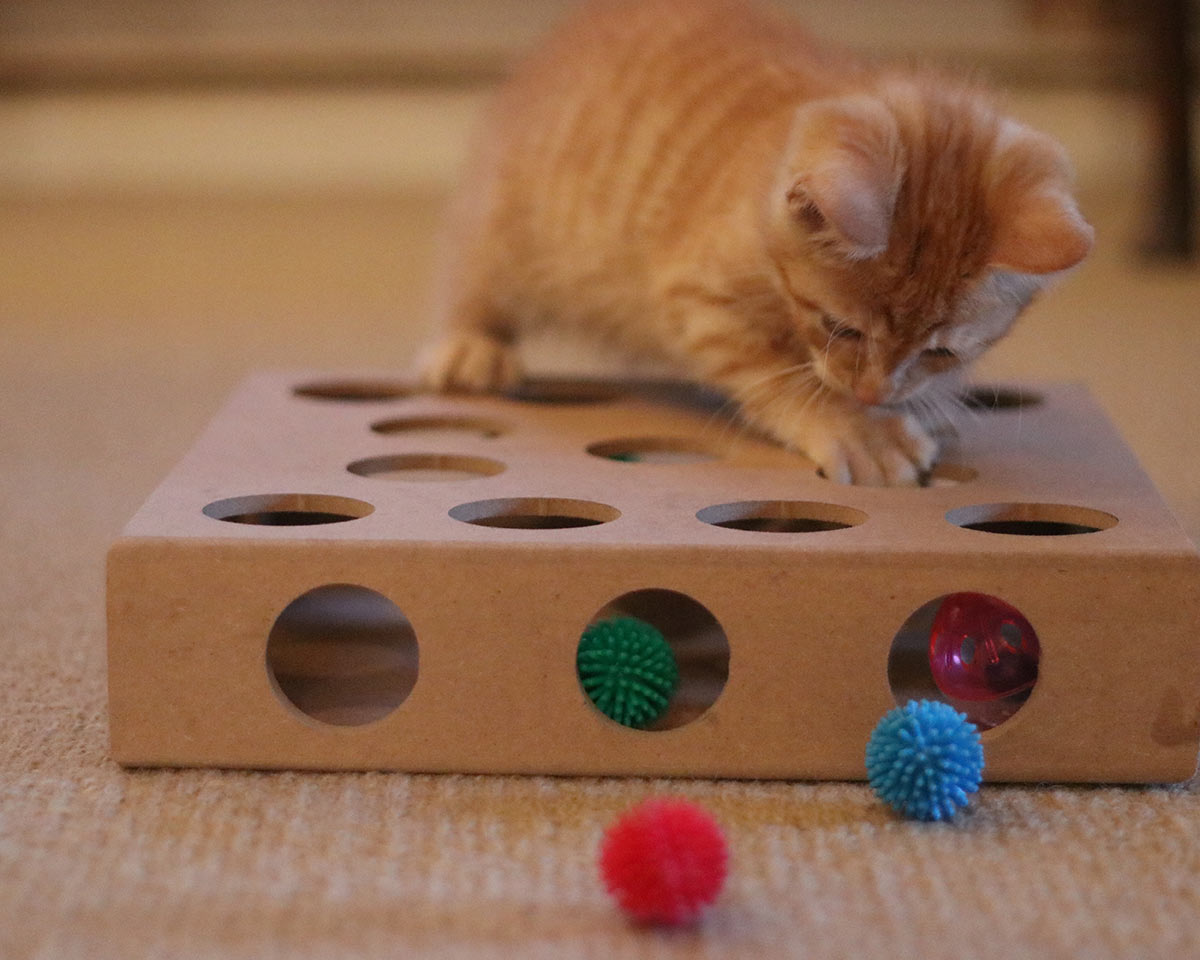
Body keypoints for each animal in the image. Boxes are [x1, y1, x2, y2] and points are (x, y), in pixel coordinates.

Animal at [417, 0, 1094, 484]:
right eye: (840, 328)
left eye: (942, 352)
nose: (872, 392)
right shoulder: (699, 301)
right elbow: (777, 375)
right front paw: (855, 426)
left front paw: (909, 410)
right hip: (510, 220)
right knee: (471, 273)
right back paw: (471, 345)